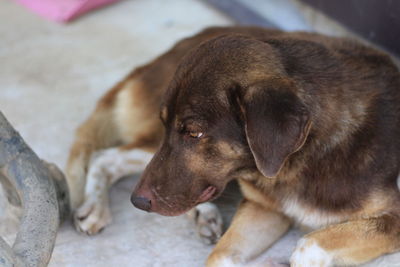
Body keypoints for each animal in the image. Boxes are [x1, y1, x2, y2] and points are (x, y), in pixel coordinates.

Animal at [66, 26, 400, 266]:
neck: (302, 161)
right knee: (106, 156)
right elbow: (219, 256)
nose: (137, 202)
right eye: (170, 124)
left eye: (194, 133)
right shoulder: (262, 207)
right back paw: (96, 206)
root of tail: (151, 63)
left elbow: (309, 245)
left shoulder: (390, 218)